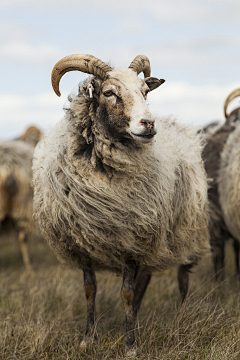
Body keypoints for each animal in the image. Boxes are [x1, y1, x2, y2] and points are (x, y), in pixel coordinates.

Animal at [32, 52, 210, 354]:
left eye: (145, 92)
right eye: (108, 93)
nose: (148, 124)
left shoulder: (132, 240)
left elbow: (126, 292)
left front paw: (130, 346)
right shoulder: (82, 243)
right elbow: (90, 290)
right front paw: (88, 338)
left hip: (185, 229)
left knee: (182, 275)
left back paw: (181, 313)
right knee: (145, 279)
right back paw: (136, 316)